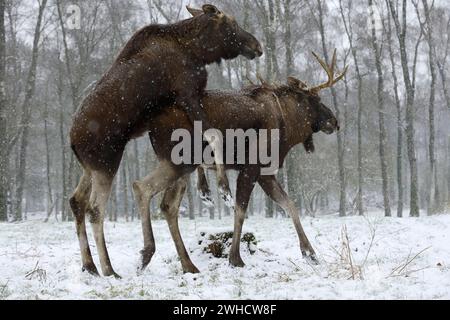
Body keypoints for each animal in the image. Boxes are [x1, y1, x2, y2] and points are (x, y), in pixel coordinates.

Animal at [68, 3, 262, 278]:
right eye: (231, 23)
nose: (256, 45)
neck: (197, 50)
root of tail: (71, 140)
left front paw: (205, 189)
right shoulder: (187, 93)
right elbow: (213, 135)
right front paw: (222, 188)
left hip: (90, 167)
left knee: (77, 201)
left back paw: (90, 265)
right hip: (107, 163)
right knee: (95, 209)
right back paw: (109, 268)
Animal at [132, 50, 346, 272]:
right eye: (315, 98)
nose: (335, 121)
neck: (288, 127)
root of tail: (149, 123)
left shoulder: (265, 173)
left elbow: (289, 205)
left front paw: (309, 253)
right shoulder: (251, 167)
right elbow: (241, 209)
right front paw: (235, 257)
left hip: (180, 168)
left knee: (168, 206)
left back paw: (187, 264)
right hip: (181, 161)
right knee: (142, 187)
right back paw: (146, 256)